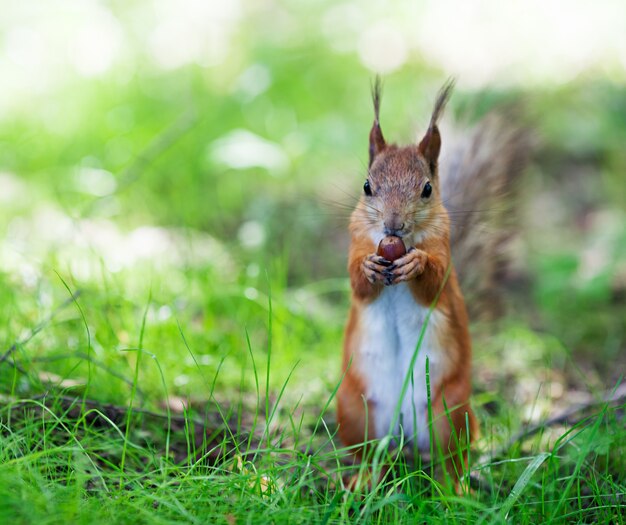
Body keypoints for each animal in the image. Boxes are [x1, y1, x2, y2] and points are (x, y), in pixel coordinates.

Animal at [336, 78, 528, 484]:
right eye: (367, 186)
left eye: (426, 189)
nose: (393, 225)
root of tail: (403, 433)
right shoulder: (356, 240)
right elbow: (357, 282)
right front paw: (369, 267)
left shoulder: (444, 252)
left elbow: (434, 283)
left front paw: (417, 264)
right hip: (355, 408)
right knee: (366, 455)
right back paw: (362, 482)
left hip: (449, 412)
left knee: (451, 460)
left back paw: (454, 490)